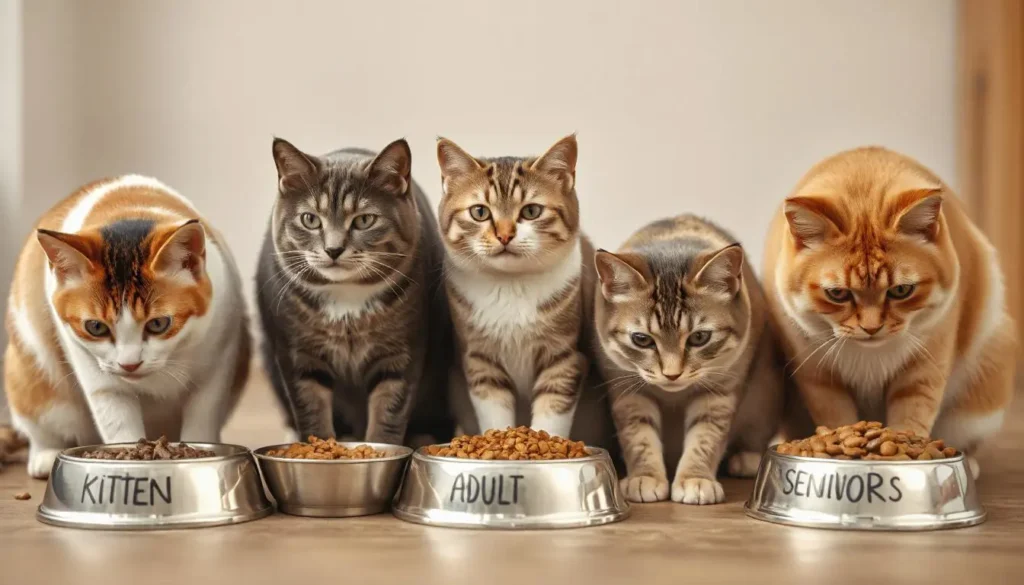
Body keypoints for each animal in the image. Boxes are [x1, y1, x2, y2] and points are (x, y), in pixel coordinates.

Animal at [3, 176, 249, 477]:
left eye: (158, 323)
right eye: (95, 327)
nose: (129, 365)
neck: (129, 205)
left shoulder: (218, 362)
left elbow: (203, 416)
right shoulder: (101, 379)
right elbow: (118, 422)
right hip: (28, 377)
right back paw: (45, 455)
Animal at [256, 138, 452, 444]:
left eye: (364, 220)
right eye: (310, 219)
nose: (333, 249)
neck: (346, 298)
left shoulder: (401, 353)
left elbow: (389, 411)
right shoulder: (299, 355)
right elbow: (311, 410)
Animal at [593, 215, 782, 504]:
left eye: (699, 337)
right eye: (642, 339)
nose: (672, 374)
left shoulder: (719, 392)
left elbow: (705, 437)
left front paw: (695, 479)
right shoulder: (626, 388)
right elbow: (638, 436)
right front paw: (645, 477)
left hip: (765, 396)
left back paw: (747, 459)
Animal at [761, 147, 1015, 481]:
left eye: (901, 290)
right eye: (837, 293)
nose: (871, 328)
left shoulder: (925, 366)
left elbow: (913, 413)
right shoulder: (817, 375)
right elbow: (835, 414)